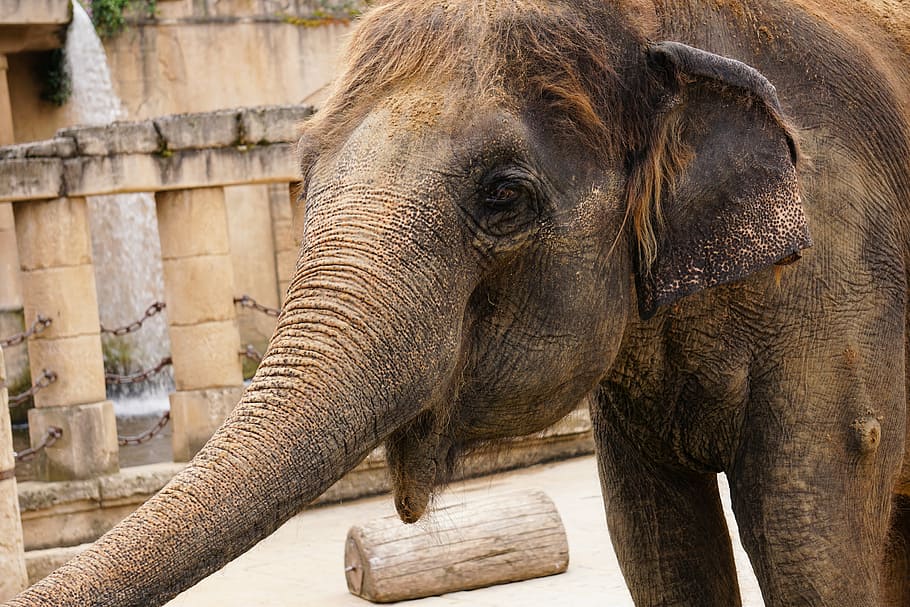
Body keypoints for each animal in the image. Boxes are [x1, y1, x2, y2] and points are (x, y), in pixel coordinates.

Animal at [7, 0, 909, 605]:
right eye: (302, 168)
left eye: (503, 196)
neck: (658, 20)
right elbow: (657, 543)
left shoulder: (842, 293)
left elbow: (809, 547)